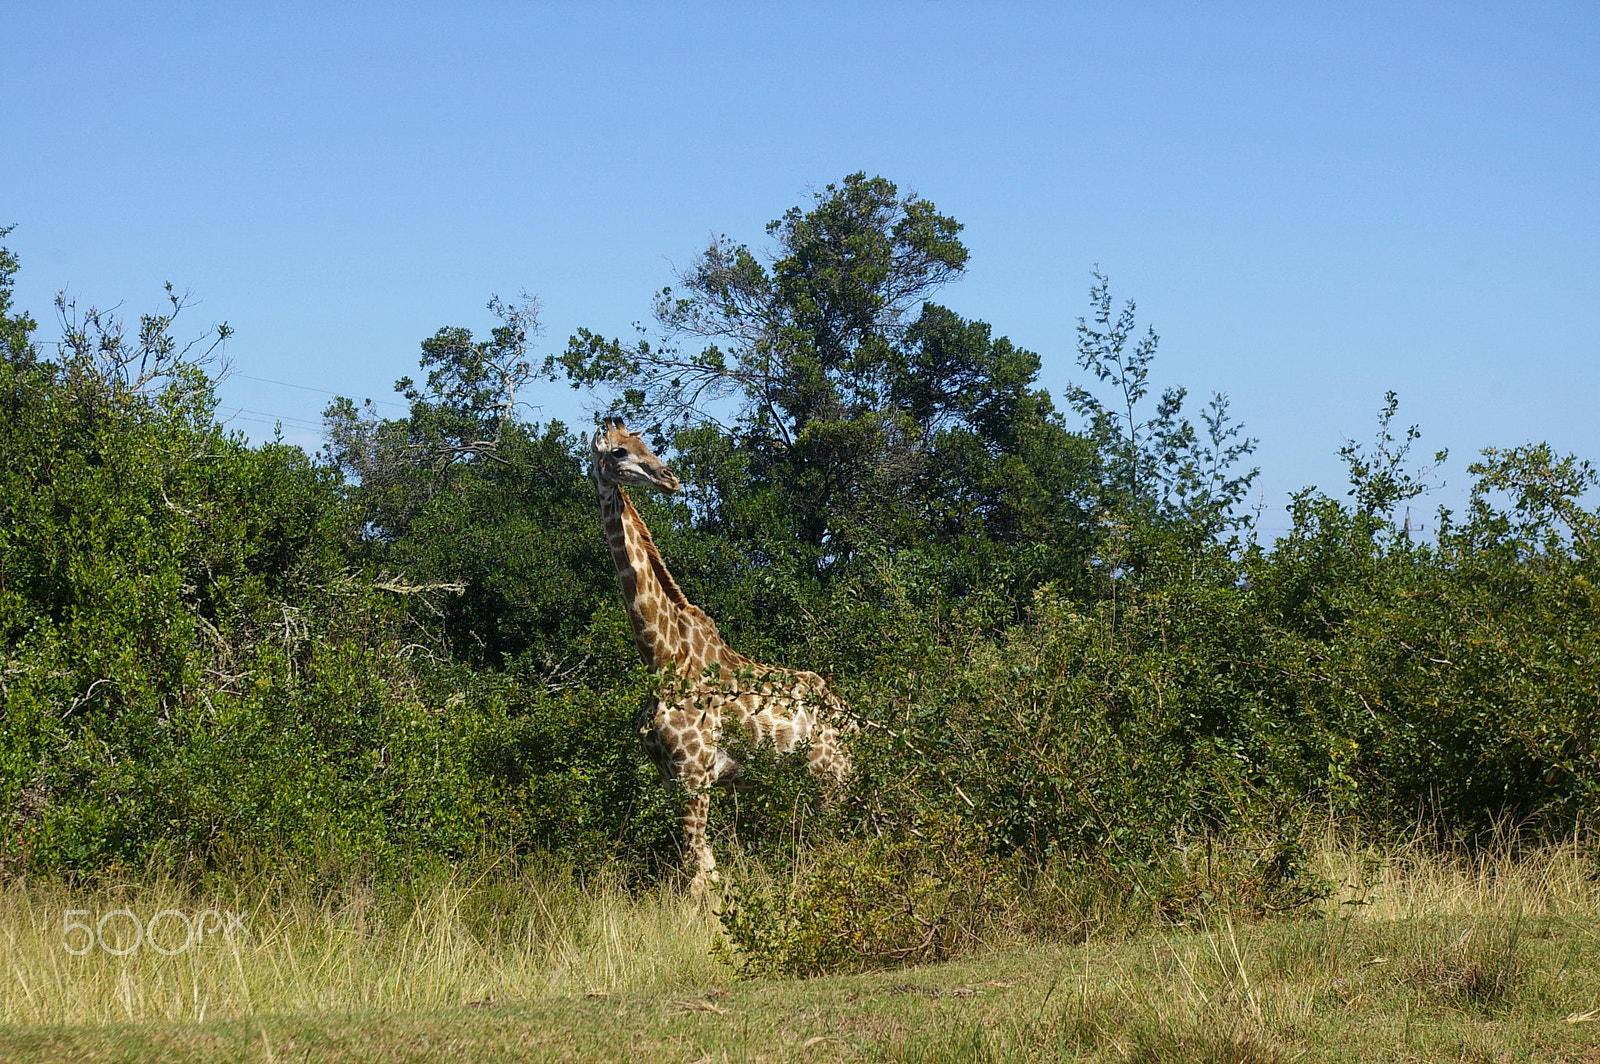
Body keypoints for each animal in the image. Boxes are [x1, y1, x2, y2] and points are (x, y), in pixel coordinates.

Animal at [588, 416, 857, 896]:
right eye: (620, 451)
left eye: (645, 444)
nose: (670, 479)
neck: (662, 657)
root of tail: (854, 720)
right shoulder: (670, 776)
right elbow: (700, 868)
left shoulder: (694, 773)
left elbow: (700, 875)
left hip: (832, 777)